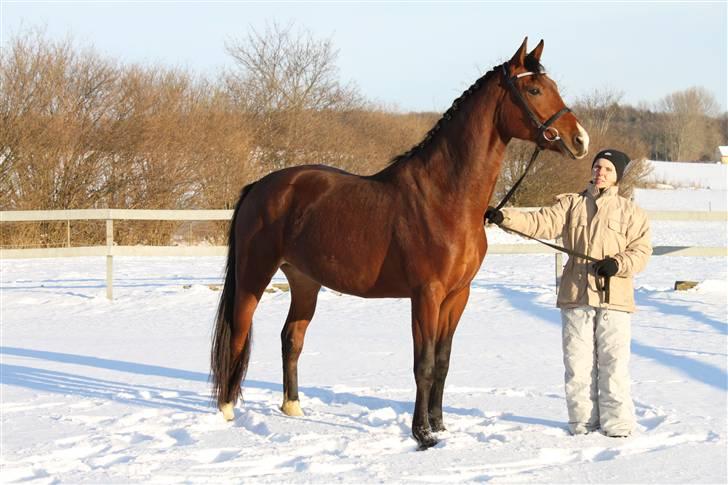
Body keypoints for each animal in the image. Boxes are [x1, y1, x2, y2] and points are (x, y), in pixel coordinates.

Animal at [208, 38, 588, 450]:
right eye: (534, 89)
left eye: (551, 86)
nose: (580, 140)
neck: (445, 197)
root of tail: (259, 187)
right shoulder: (426, 295)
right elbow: (423, 363)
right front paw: (422, 435)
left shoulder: (458, 295)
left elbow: (443, 361)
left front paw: (439, 425)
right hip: (253, 276)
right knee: (239, 333)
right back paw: (226, 410)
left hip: (305, 280)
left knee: (291, 338)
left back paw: (293, 408)